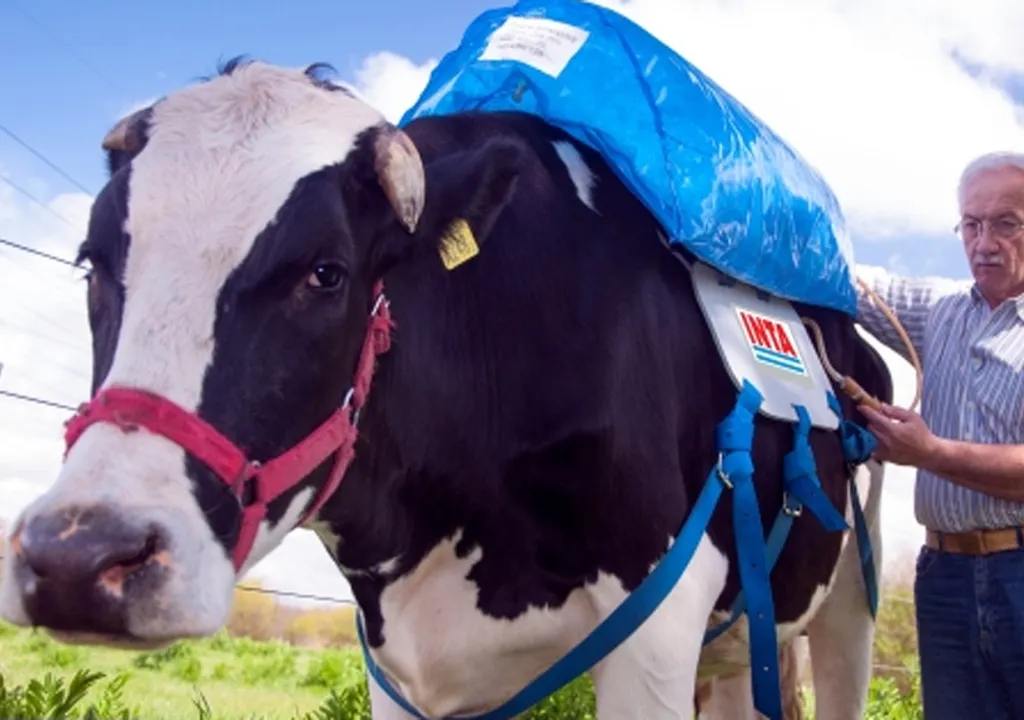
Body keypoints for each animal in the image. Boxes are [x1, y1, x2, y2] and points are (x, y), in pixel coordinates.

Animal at [0, 59, 891, 720]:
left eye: (327, 273)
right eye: (91, 261)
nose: (81, 557)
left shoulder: (660, 626)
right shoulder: (397, 662)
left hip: (852, 594)